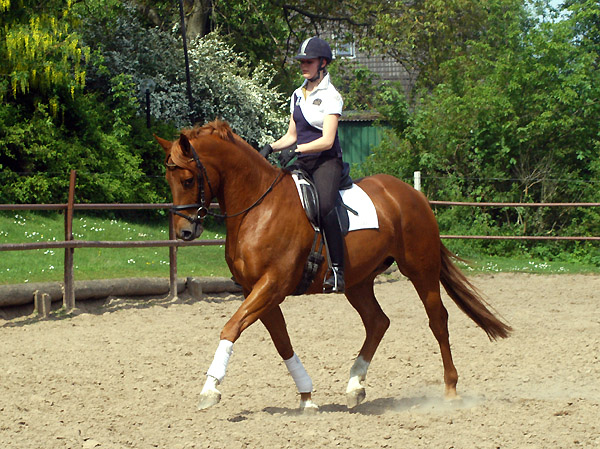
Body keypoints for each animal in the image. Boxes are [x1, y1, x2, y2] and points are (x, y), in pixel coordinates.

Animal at [156, 120, 510, 412]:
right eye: (168, 179)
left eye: (187, 179)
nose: (184, 232)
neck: (258, 207)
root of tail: (414, 195)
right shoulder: (255, 289)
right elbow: (281, 341)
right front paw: (307, 397)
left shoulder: (273, 284)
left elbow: (232, 327)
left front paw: (209, 389)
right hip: (358, 281)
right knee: (378, 322)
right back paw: (355, 386)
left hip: (420, 270)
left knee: (437, 320)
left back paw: (450, 388)